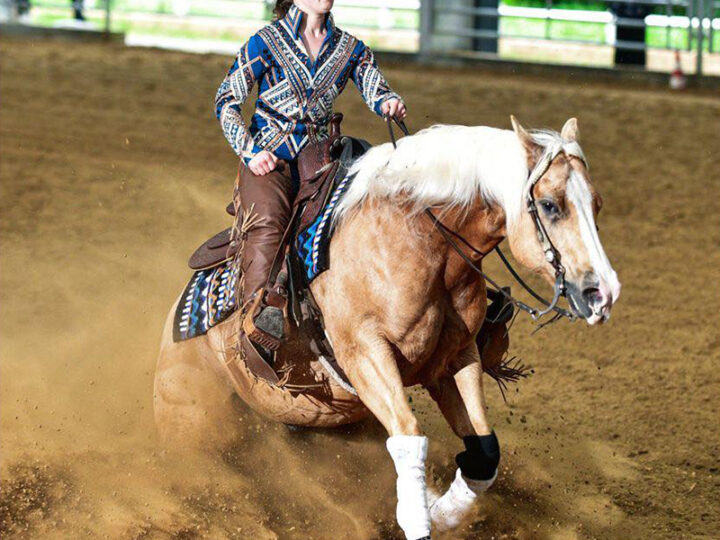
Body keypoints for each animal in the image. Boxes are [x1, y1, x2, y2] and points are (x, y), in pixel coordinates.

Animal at [156, 118, 620, 540]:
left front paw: (441, 512)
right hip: (190, 418)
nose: (603, 292)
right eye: (550, 205)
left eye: (597, 204)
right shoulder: (365, 355)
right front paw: (418, 518)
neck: (416, 241)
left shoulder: (454, 359)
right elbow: (409, 436)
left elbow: (484, 452)